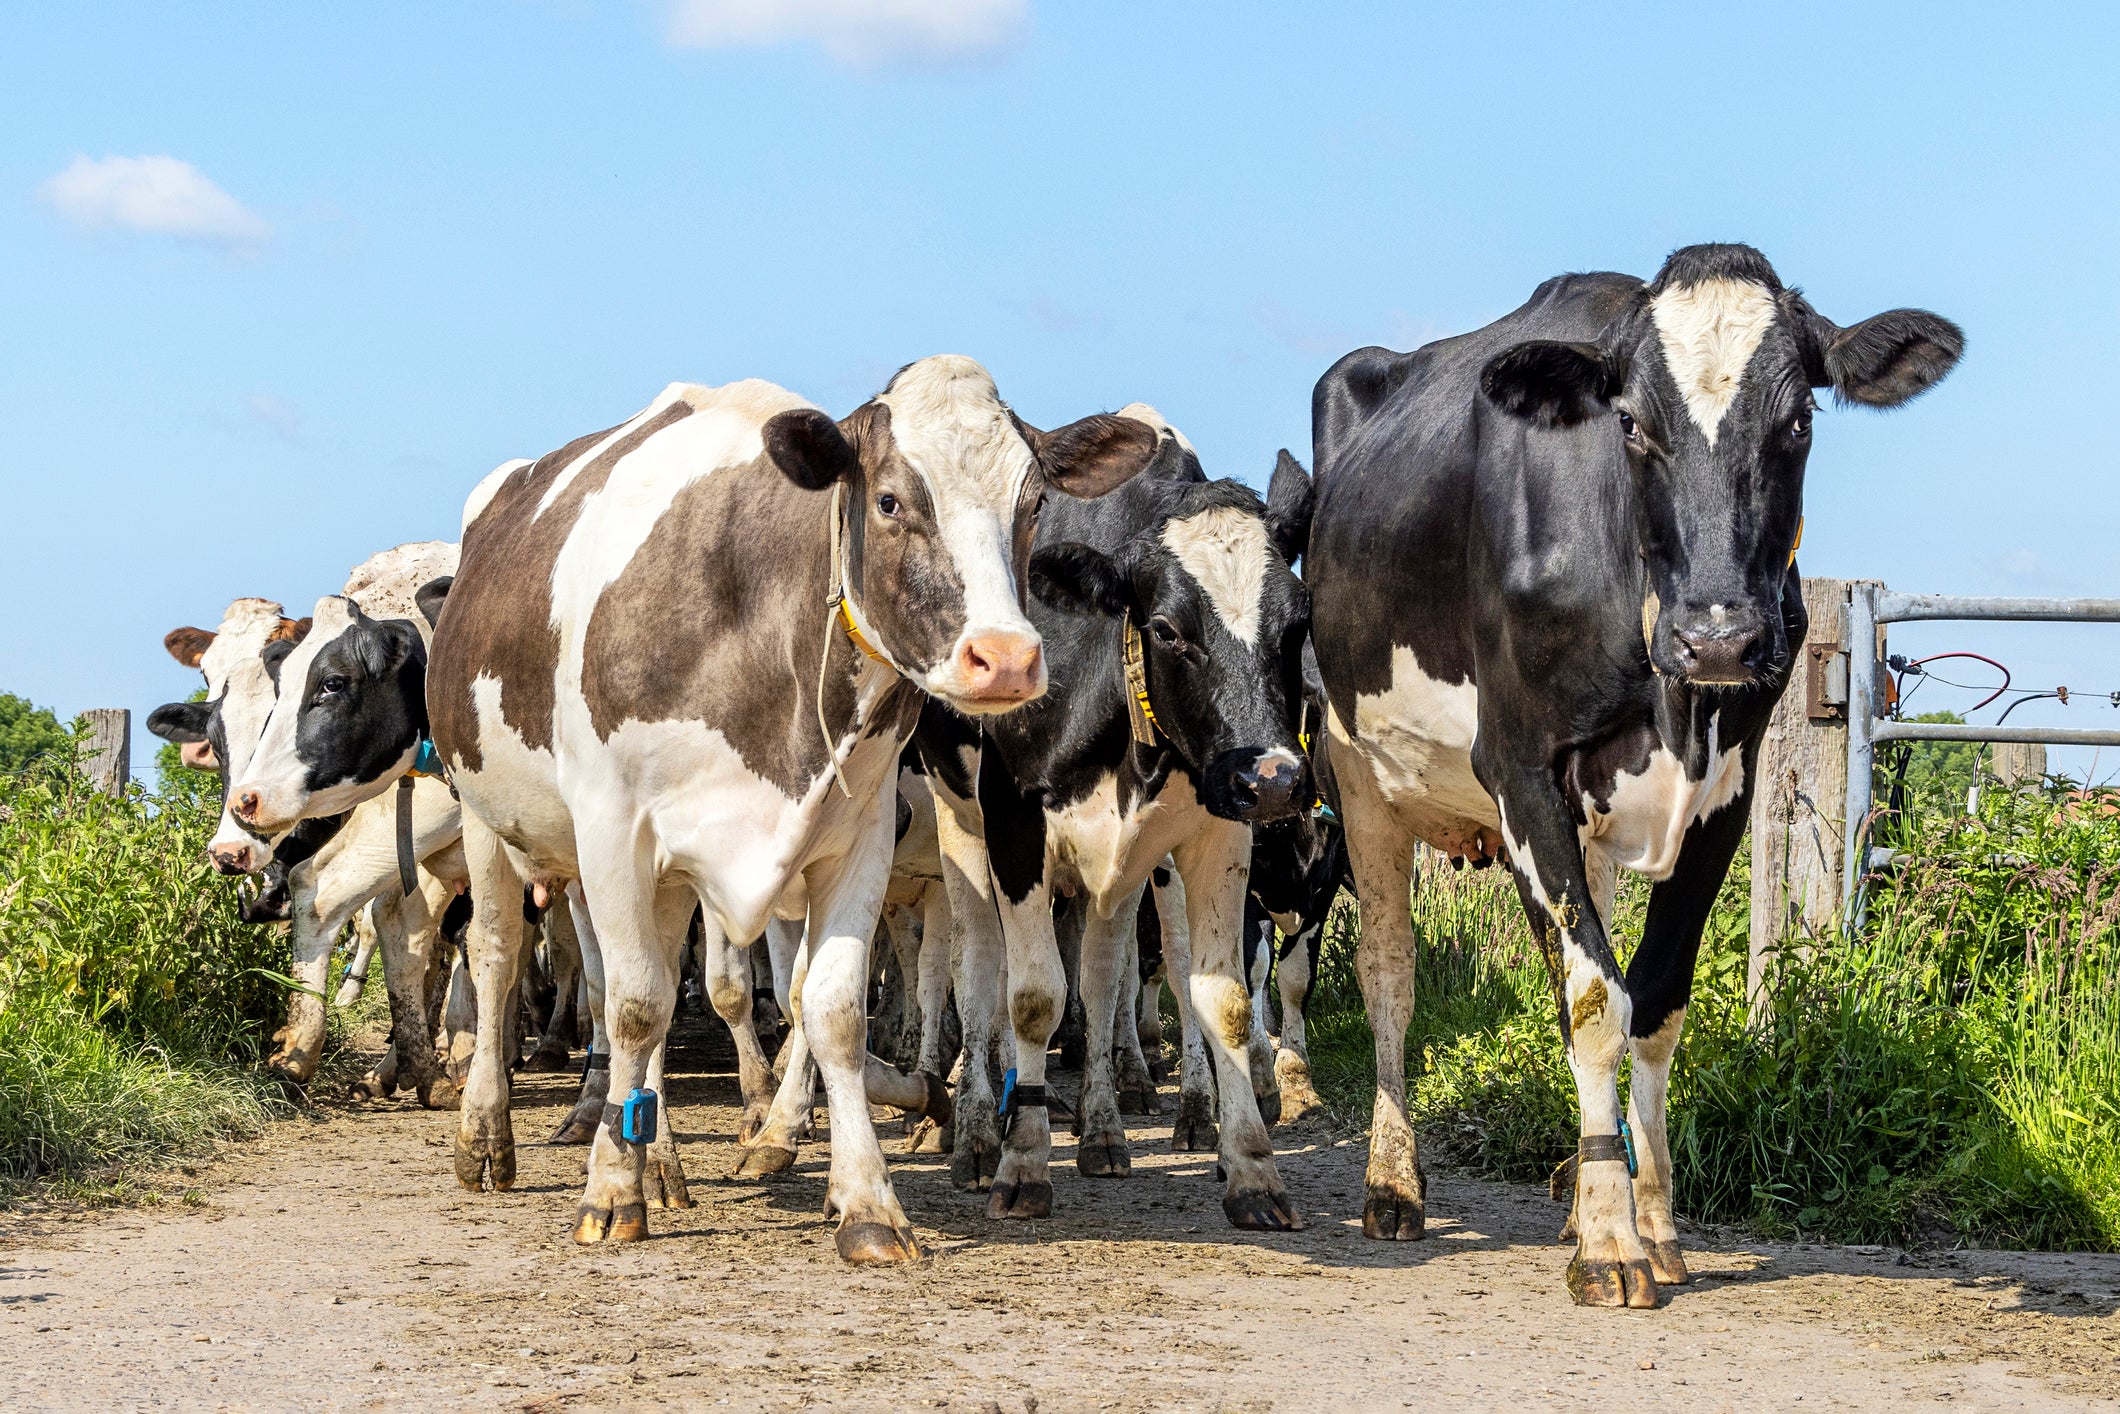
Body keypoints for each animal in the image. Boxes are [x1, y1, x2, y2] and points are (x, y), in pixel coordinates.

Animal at [421, 357, 1158, 1261]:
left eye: (1034, 503)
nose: (1008, 659)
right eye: (890, 500)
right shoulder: (612, 829)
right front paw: (607, 1193)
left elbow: (830, 1008)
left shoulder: (860, 834)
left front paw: (869, 1201)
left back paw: (659, 1162)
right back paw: (488, 1138)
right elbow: (631, 1006)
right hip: (486, 815)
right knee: (496, 961)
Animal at [917, 405, 1315, 1229]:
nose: (1275, 780)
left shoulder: (1214, 832)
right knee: (977, 969)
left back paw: (1102, 1129)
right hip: (958, 825)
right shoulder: (1015, 824)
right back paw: (975, 1135)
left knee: (1102, 977)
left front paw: (1253, 1172)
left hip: (1126, 870)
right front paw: (1022, 1163)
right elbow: (1031, 997)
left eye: (1297, 622)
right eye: (1165, 629)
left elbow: (1221, 998)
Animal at [1306, 243, 1961, 1306]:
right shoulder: (1520, 768)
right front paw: (1609, 1239)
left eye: (1800, 420)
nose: (1719, 636)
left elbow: (1648, 1001)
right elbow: (1590, 1001)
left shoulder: (1726, 795)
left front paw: (1646, 1218)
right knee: (1387, 972)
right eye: (1631, 425)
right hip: (1359, 772)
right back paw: (1393, 1184)